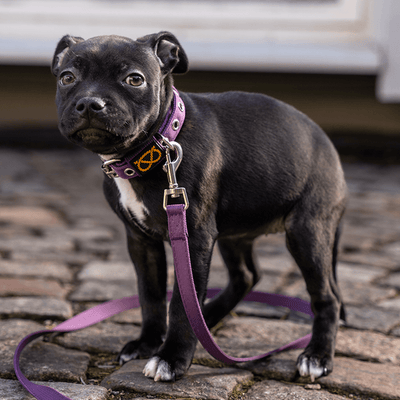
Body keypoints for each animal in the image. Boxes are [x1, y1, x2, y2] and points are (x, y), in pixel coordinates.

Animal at [51, 31, 346, 382]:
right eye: (67, 78)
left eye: (134, 79)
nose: (89, 103)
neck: (157, 145)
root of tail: (328, 144)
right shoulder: (141, 242)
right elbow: (150, 295)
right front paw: (147, 343)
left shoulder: (193, 239)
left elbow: (180, 302)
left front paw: (172, 358)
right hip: (236, 233)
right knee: (247, 276)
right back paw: (207, 316)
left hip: (307, 233)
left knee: (326, 296)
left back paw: (317, 356)